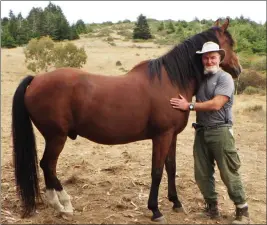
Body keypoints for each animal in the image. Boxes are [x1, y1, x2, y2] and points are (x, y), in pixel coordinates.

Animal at [12, 18, 241, 222]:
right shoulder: (162, 136)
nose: (238, 70)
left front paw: (176, 202)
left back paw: (57, 205)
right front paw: (155, 210)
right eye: (230, 43)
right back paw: (64, 206)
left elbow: (171, 167)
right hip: (56, 137)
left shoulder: (172, 136)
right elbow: (157, 171)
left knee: (46, 167)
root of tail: (36, 79)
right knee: (48, 165)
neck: (170, 81)